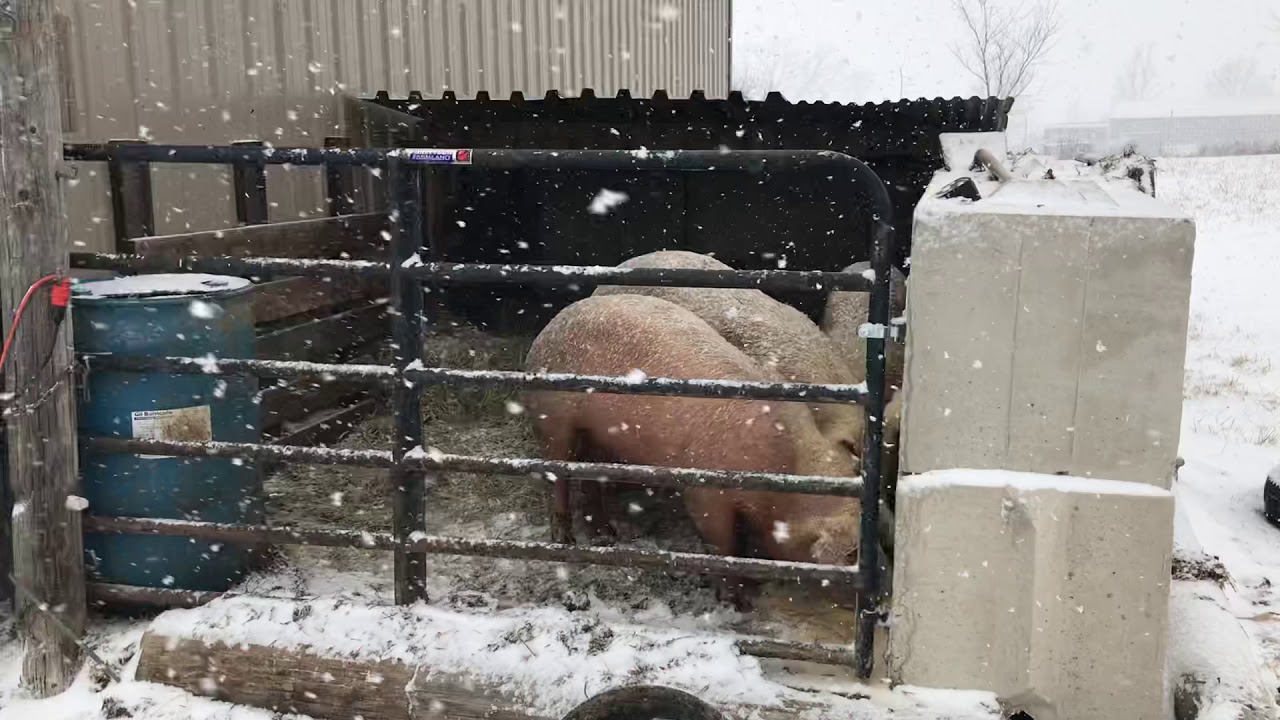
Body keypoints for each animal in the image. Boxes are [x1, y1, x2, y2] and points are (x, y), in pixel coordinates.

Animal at [524, 294, 862, 610]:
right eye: (851, 553)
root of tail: (548, 328)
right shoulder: (705, 489)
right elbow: (722, 542)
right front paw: (737, 602)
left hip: (599, 434)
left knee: (591, 476)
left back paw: (606, 536)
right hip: (552, 416)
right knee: (558, 474)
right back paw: (564, 540)